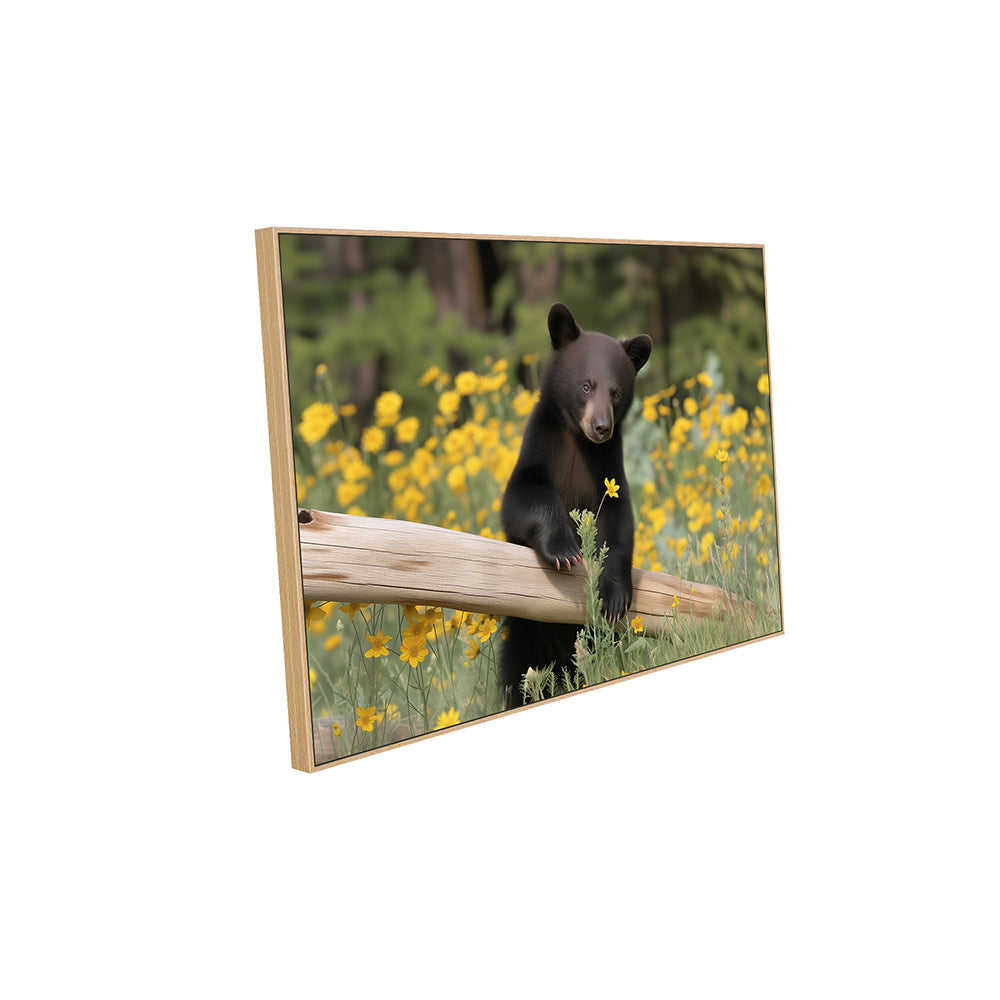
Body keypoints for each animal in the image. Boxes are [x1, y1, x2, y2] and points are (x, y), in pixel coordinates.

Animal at [499, 302, 652, 708]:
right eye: (586, 385)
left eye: (616, 392)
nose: (601, 427)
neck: (577, 442)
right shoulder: (540, 448)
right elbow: (521, 498)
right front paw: (565, 549)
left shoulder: (608, 470)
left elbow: (620, 522)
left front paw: (615, 594)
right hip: (527, 631)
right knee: (520, 670)